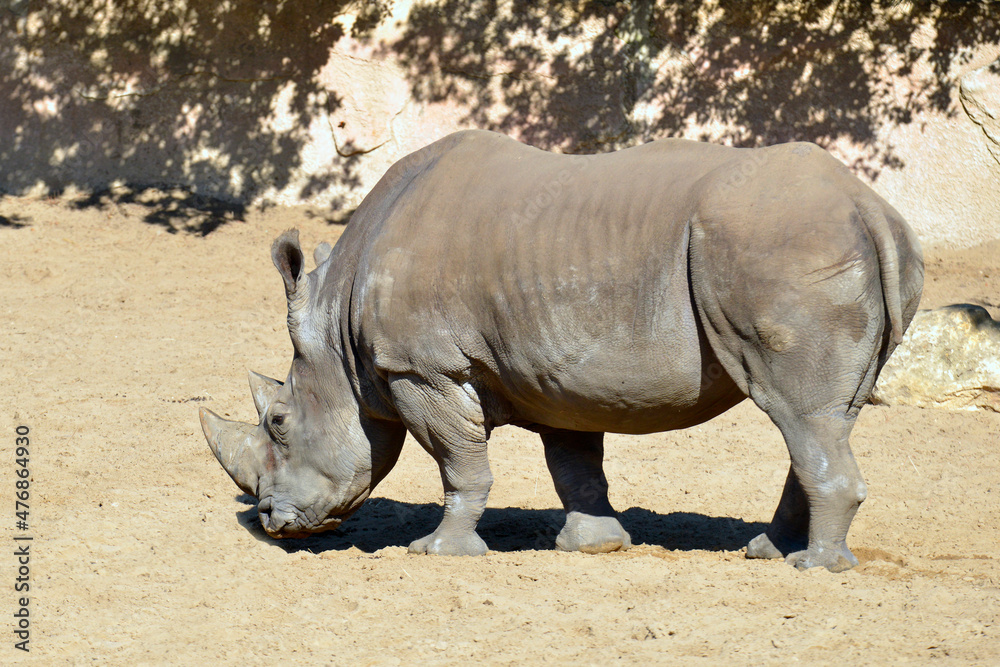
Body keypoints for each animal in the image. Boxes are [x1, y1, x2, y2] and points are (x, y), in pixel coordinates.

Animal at [200, 130, 923, 572]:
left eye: (279, 421)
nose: (270, 520)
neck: (339, 328)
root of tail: (867, 205)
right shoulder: (555, 372)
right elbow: (574, 465)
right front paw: (594, 546)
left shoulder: (423, 368)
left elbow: (461, 464)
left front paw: (437, 551)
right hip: (830, 246)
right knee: (824, 419)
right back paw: (768, 550)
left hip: (781, 247)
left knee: (799, 413)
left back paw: (812, 566)